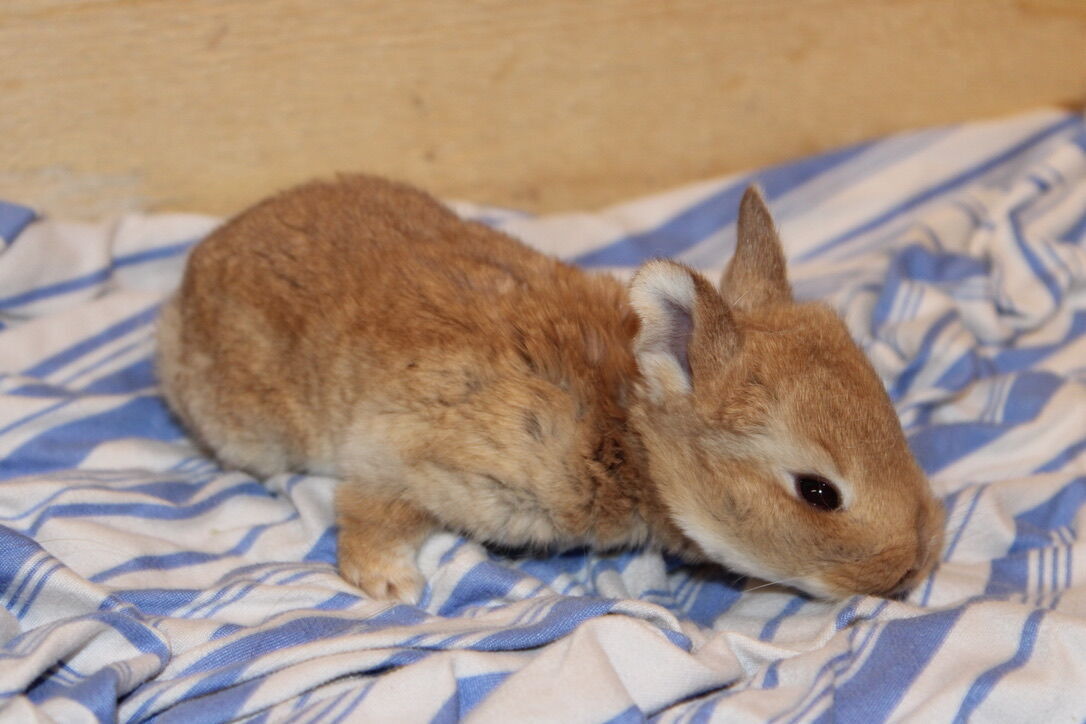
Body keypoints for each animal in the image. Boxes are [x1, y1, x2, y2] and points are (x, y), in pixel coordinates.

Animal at [156, 174, 945, 603]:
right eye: (817, 492)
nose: (911, 567)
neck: (629, 427)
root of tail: (192, 276)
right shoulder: (411, 461)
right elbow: (374, 513)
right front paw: (389, 583)